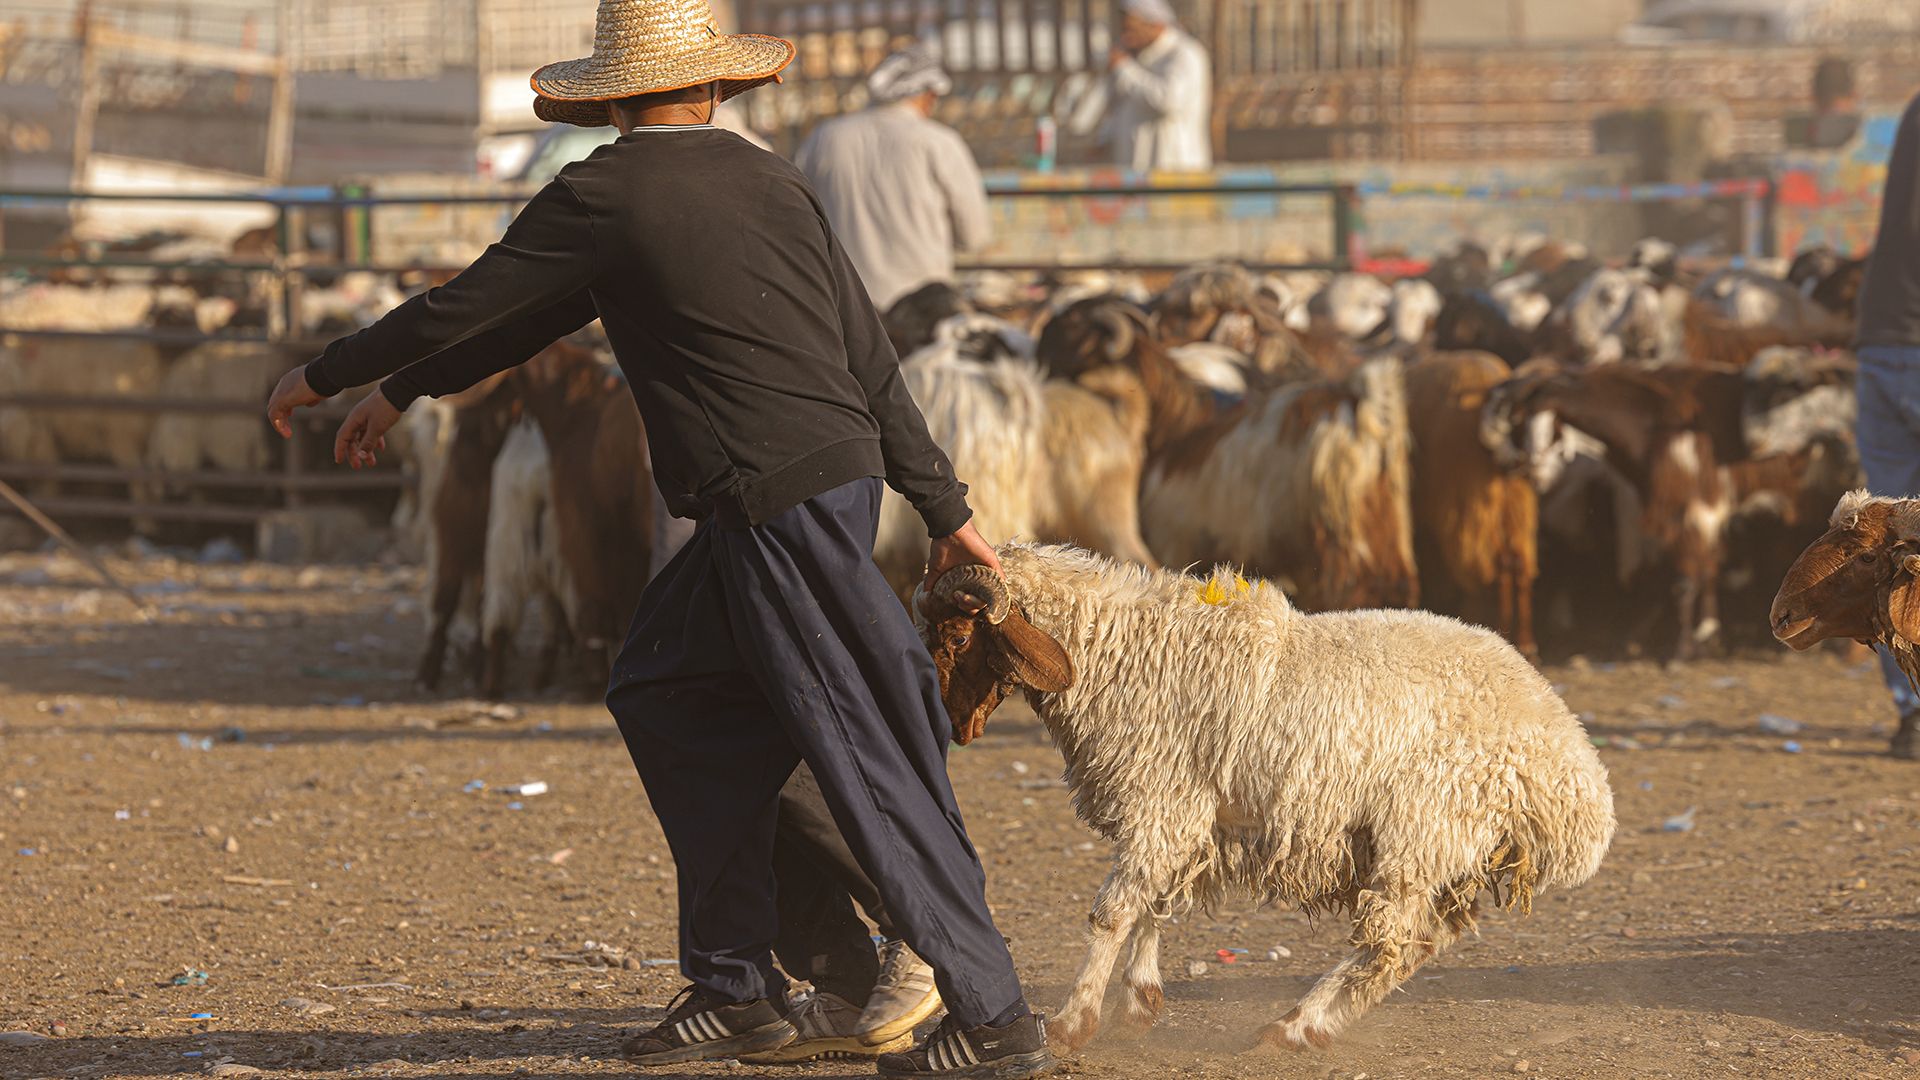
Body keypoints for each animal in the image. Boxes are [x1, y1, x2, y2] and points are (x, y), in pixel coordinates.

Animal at [913, 541, 1620, 1045]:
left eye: (957, 637)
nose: (950, 726)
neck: (1118, 653)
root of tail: (1574, 775)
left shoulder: (1161, 799)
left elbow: (1115, 912)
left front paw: (1072, 1022)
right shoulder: (1186, 811)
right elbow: (1154, 904)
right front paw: (1140, 1002)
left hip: (1424, 829)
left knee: (1387, 947)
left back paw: (1294, 1027)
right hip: (1448, 851)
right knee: (1418, 944)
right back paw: (1309, 1025)